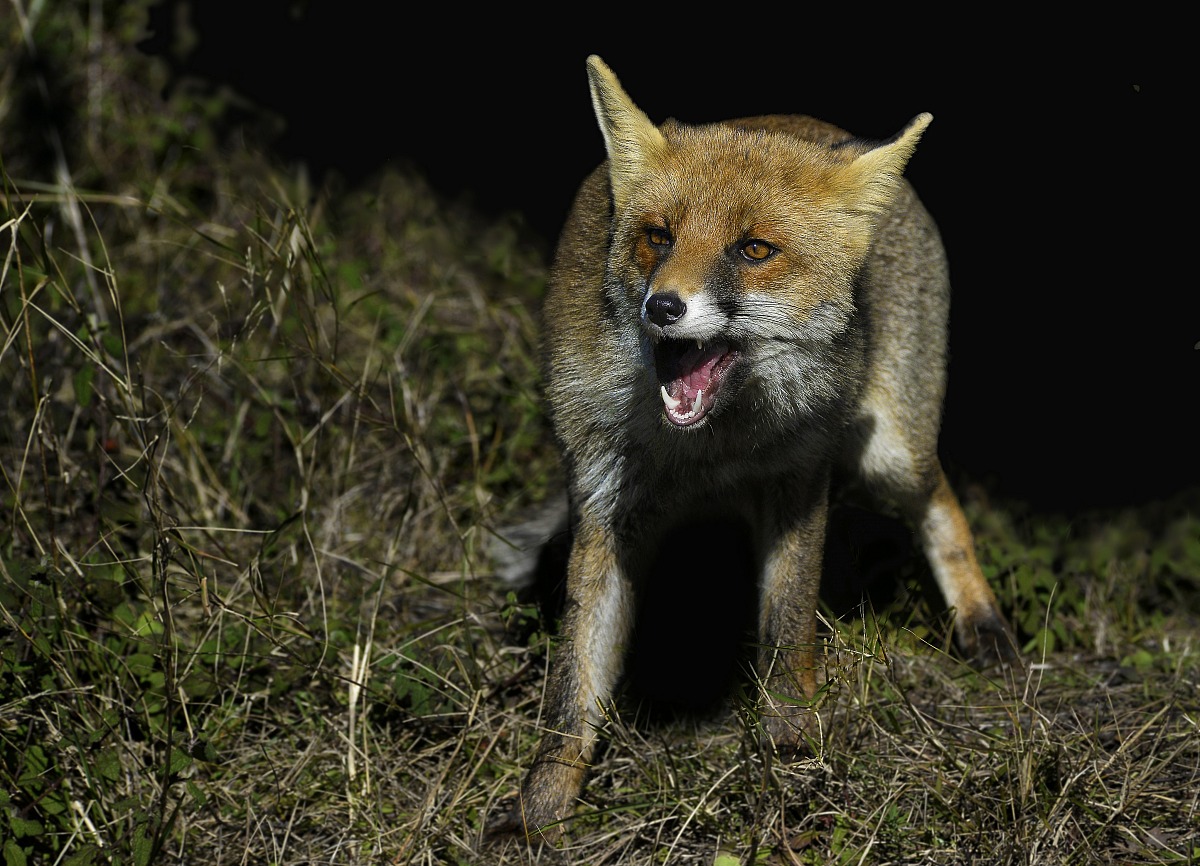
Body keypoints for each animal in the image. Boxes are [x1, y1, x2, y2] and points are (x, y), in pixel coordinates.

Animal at [490, 55, 1017, 842]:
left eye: (753, 250)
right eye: (658, 237)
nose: (661, 306)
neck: (709, 451)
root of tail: (833, 129)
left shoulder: (800, 481)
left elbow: (789, 639)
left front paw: (793, 761)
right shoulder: (605, 502)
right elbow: (572, 693)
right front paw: (540, 811)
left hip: (890, 457)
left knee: (944, 505)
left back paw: (983, 625)